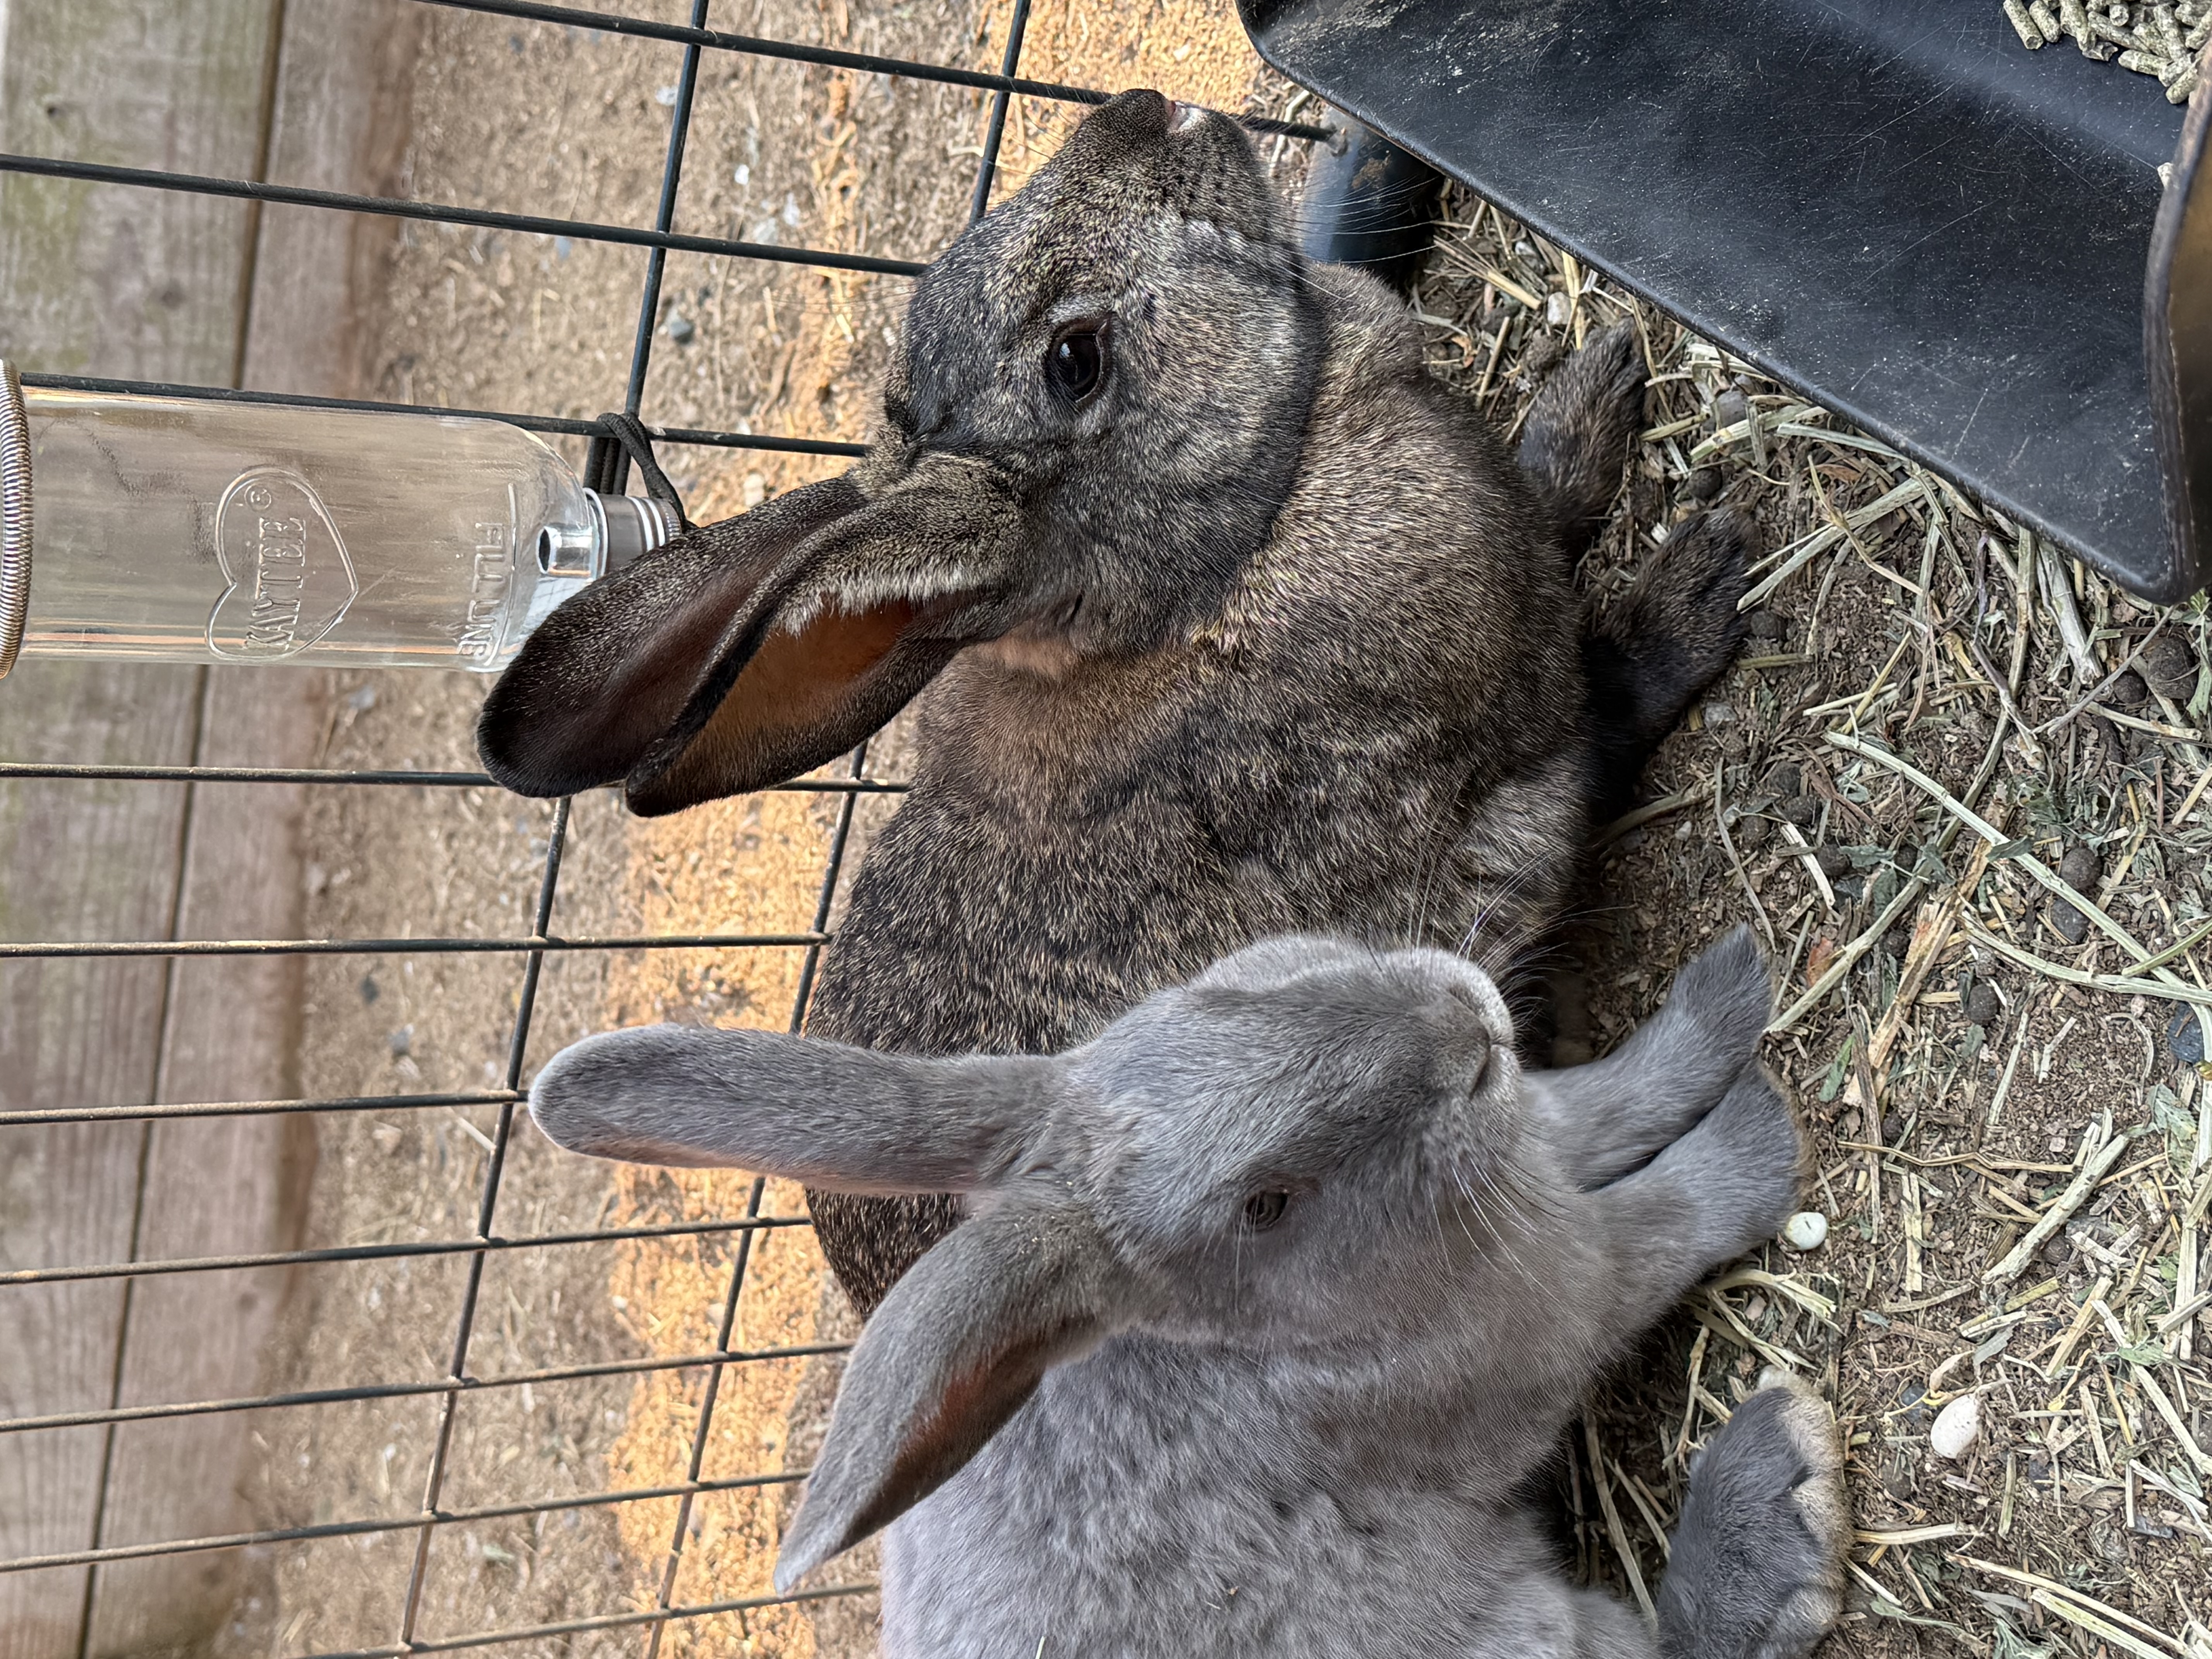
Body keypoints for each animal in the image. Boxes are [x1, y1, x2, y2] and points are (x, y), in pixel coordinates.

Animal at [479, 88, 1752, 1314]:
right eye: (1075, 360)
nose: (1147, 109)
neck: (1226, 557)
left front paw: (1594, 386)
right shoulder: (1526, 739)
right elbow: (1609, 685)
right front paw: (1702, 579)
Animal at [528, 925, 1848, 1659]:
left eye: (1217, 998)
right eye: (1265, 1204)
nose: (1463, 1025)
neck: (1246, 1341)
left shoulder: (1542, 1137)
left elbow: (1611, 1097)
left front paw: (1726, 992)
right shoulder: (1566, 1296)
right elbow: (1658, 1220)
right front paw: (1756, 1136)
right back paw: (1776, 1499)